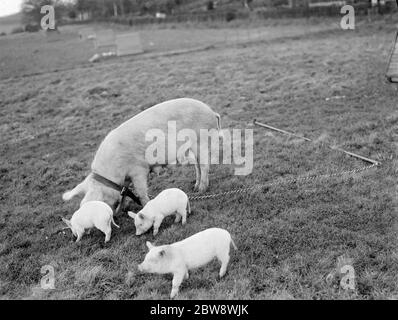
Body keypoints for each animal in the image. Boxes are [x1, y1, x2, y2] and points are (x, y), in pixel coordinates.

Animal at [63, 97, 222, 210]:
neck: (114, 172)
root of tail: (212, 112)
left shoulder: (138, 169)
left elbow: (141, 191)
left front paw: (145, 205)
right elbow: (125, 193)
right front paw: (124, 207)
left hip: (202, 140)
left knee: (205, 165)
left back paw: (201, 190)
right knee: (197, 166)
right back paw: (195, 187)